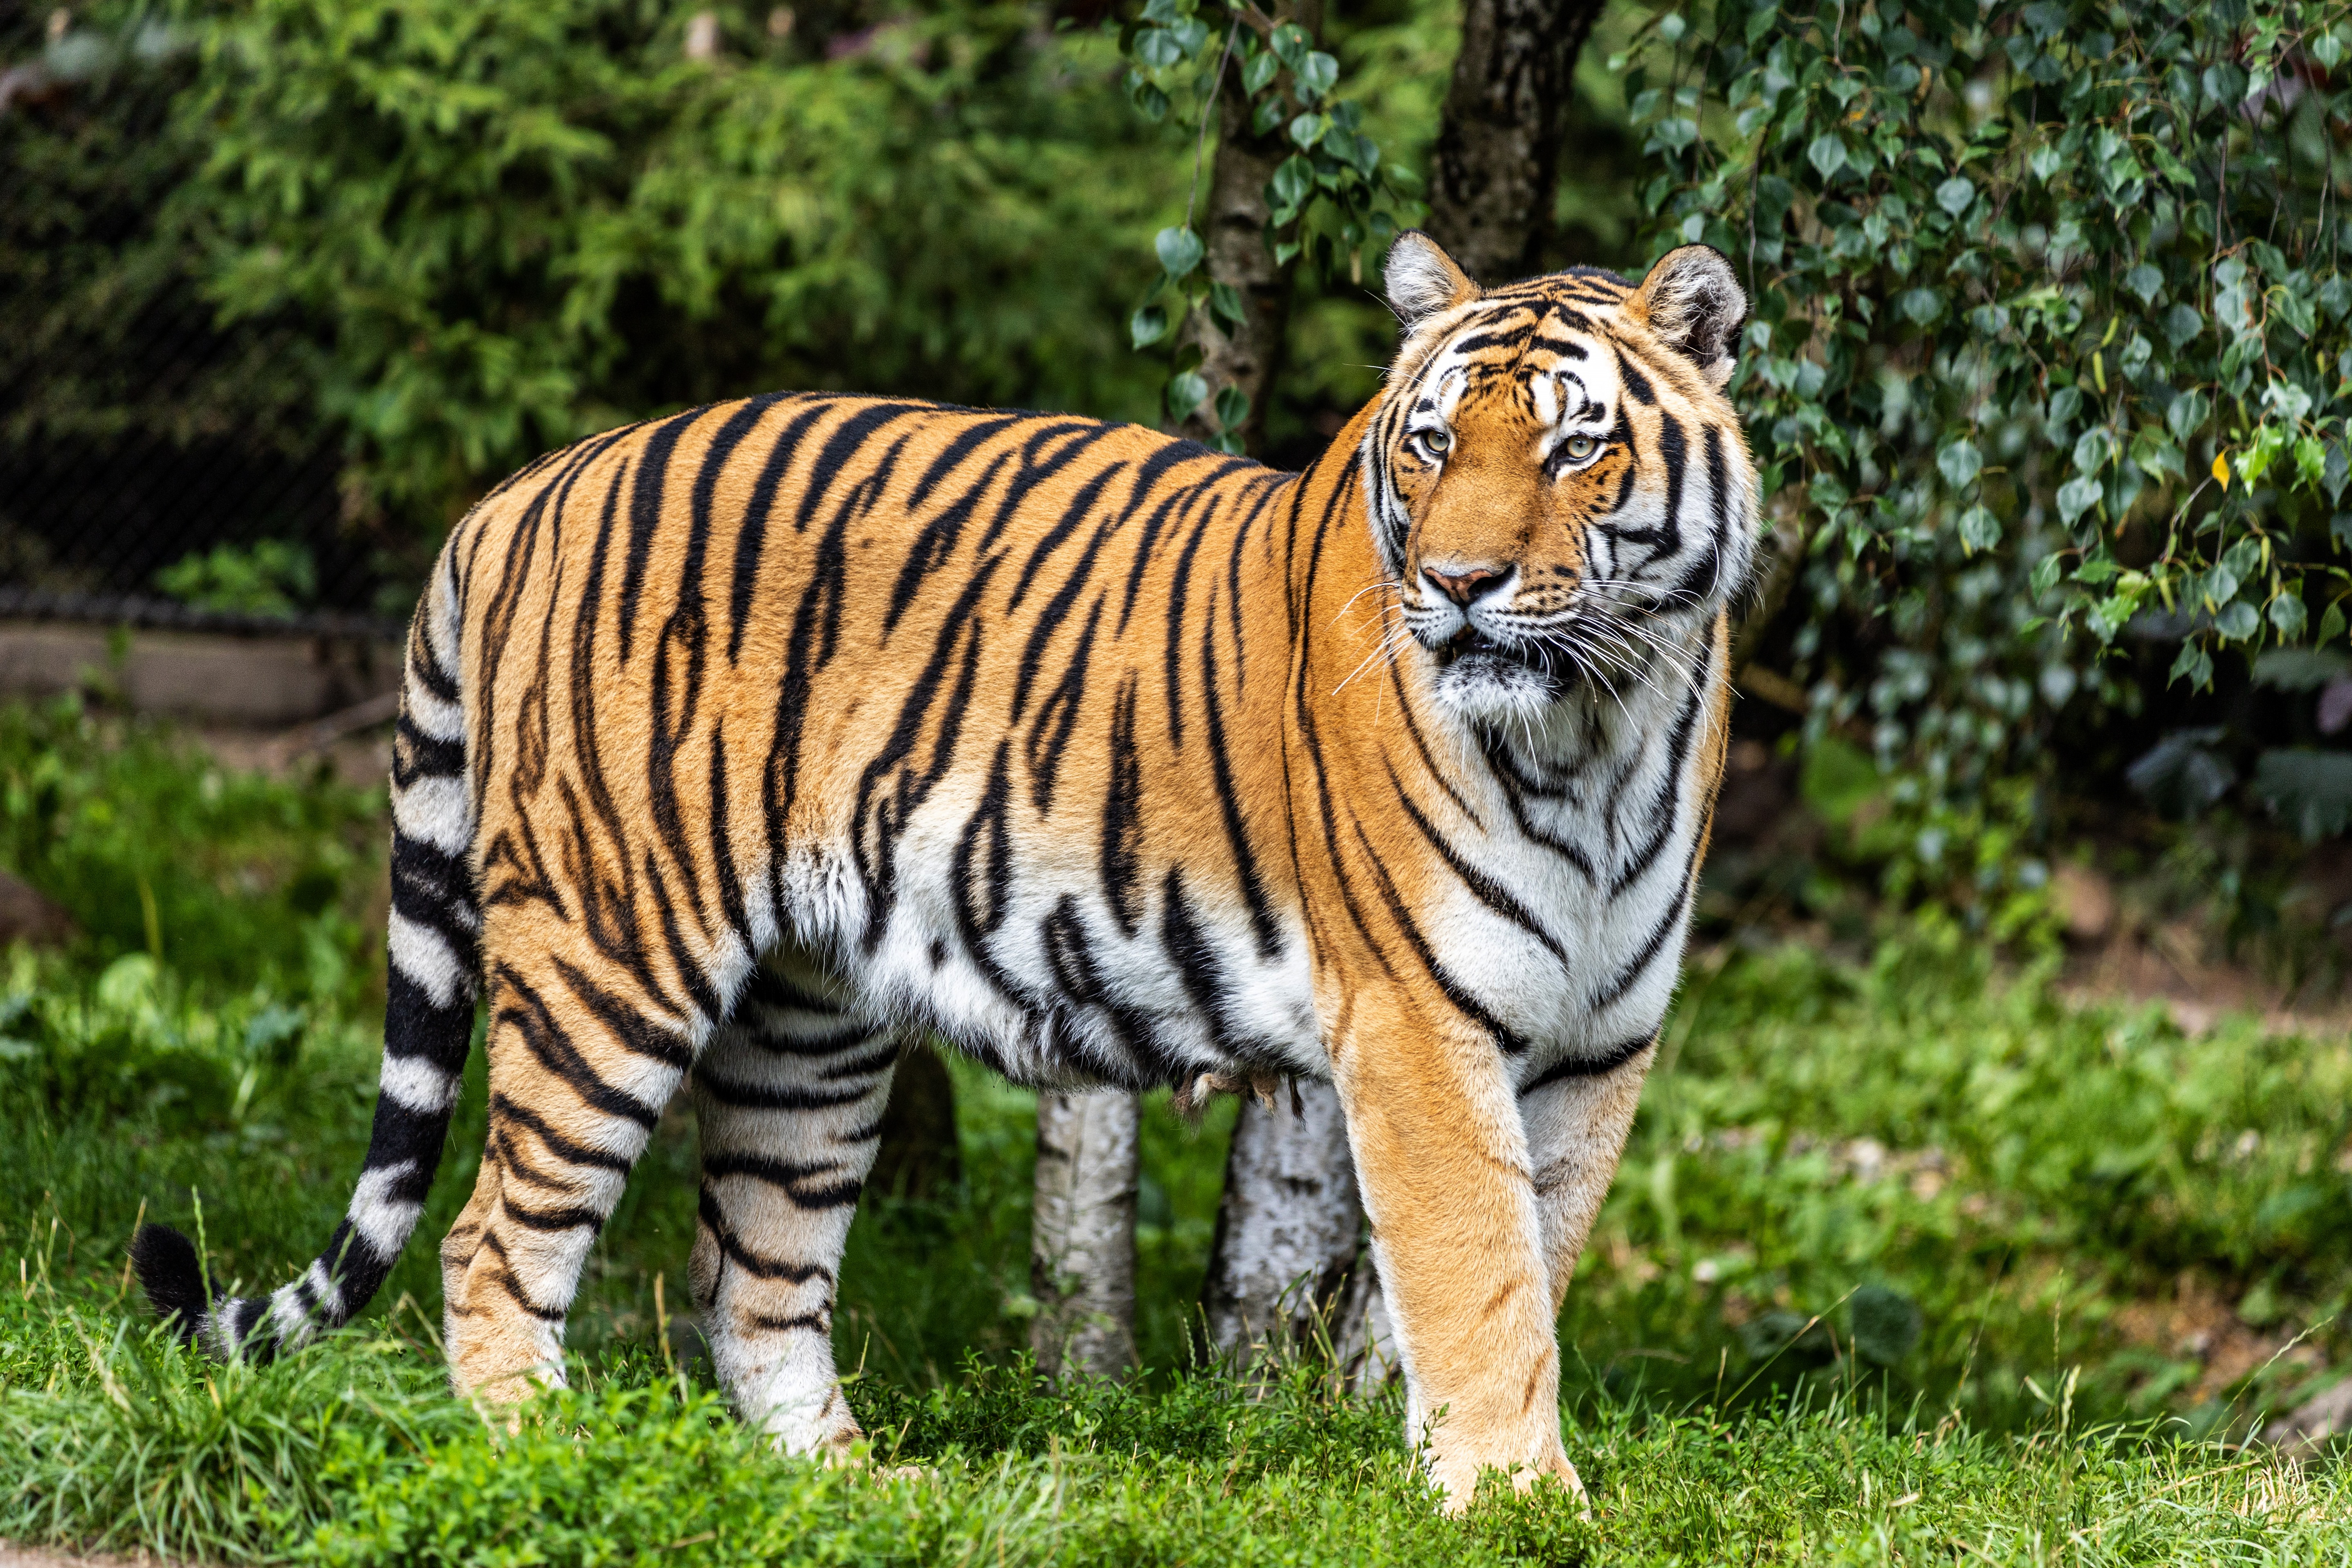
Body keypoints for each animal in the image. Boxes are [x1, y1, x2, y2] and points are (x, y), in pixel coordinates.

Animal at [128, 230, 1750, 1504]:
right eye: (1430, 446)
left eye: (1573, 446)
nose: (1459, 586)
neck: (1596, 724)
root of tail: (516, 491)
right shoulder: (1416, 1024)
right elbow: (1479, 1277)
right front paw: (1516, 1504)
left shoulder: (1596, 1045)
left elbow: (1529, 1262)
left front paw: (1472, 1477)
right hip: (610, 954)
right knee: (488, 1235)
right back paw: (540, 1457)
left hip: (807, 1023)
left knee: (750, 1267)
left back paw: (846, 1489)